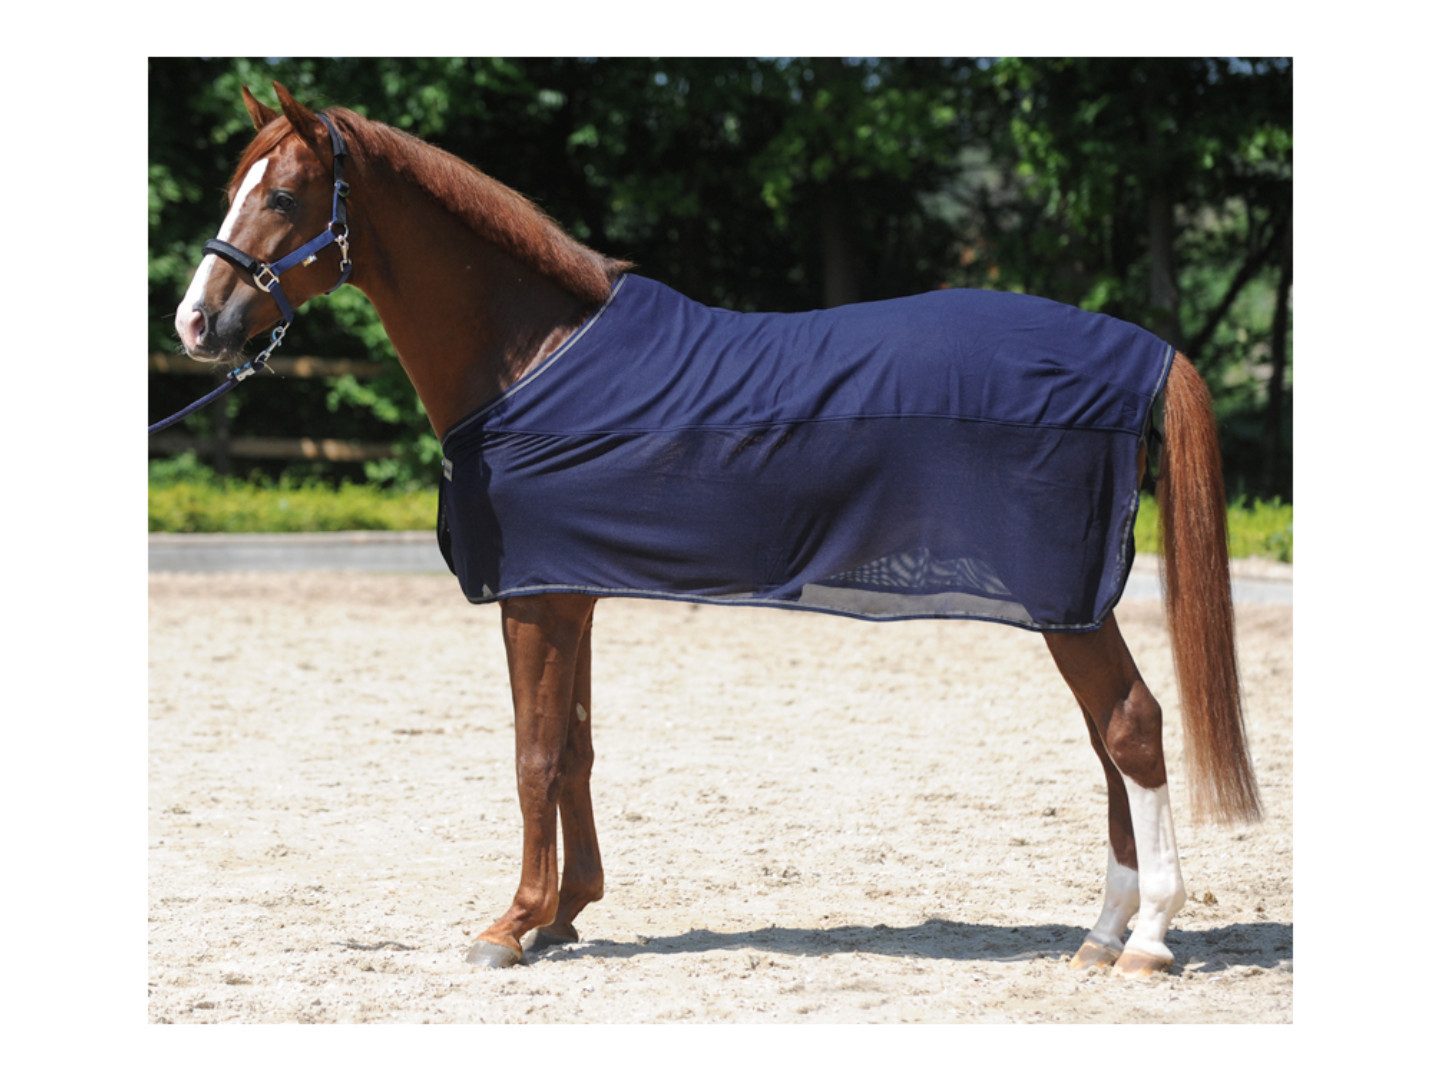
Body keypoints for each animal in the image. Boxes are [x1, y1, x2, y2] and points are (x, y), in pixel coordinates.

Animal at [168, 82, 1261, 976]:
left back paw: (1148, 940)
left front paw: (509, 925)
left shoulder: (535, 599)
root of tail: (1140, 351)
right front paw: (565, 913)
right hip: (1064, 604)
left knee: (1131, 727)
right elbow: (574, 750)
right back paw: (1102, 934)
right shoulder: (571, 591)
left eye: (283, 197)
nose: (193, 325)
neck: (533, 359)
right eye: (236, 185)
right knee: (1108, 738)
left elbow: (531, 757)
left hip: (1065, 598)